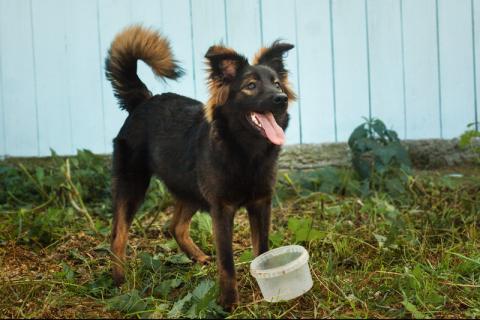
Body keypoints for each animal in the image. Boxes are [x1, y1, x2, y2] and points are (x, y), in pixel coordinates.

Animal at [106, 25, 294, 310]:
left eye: (277, 83)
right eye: (251, 86)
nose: (281, 98)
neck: (245, 152)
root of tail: (143, 100)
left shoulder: (261, 203)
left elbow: (262, 250)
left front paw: (265, 285)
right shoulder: (221, 209)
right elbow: (227, 262)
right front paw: (228, 303)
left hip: (190, 188)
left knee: (175, 227)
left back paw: (197, 257)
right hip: (133, 184)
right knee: (118, 235)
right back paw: (120, 281)